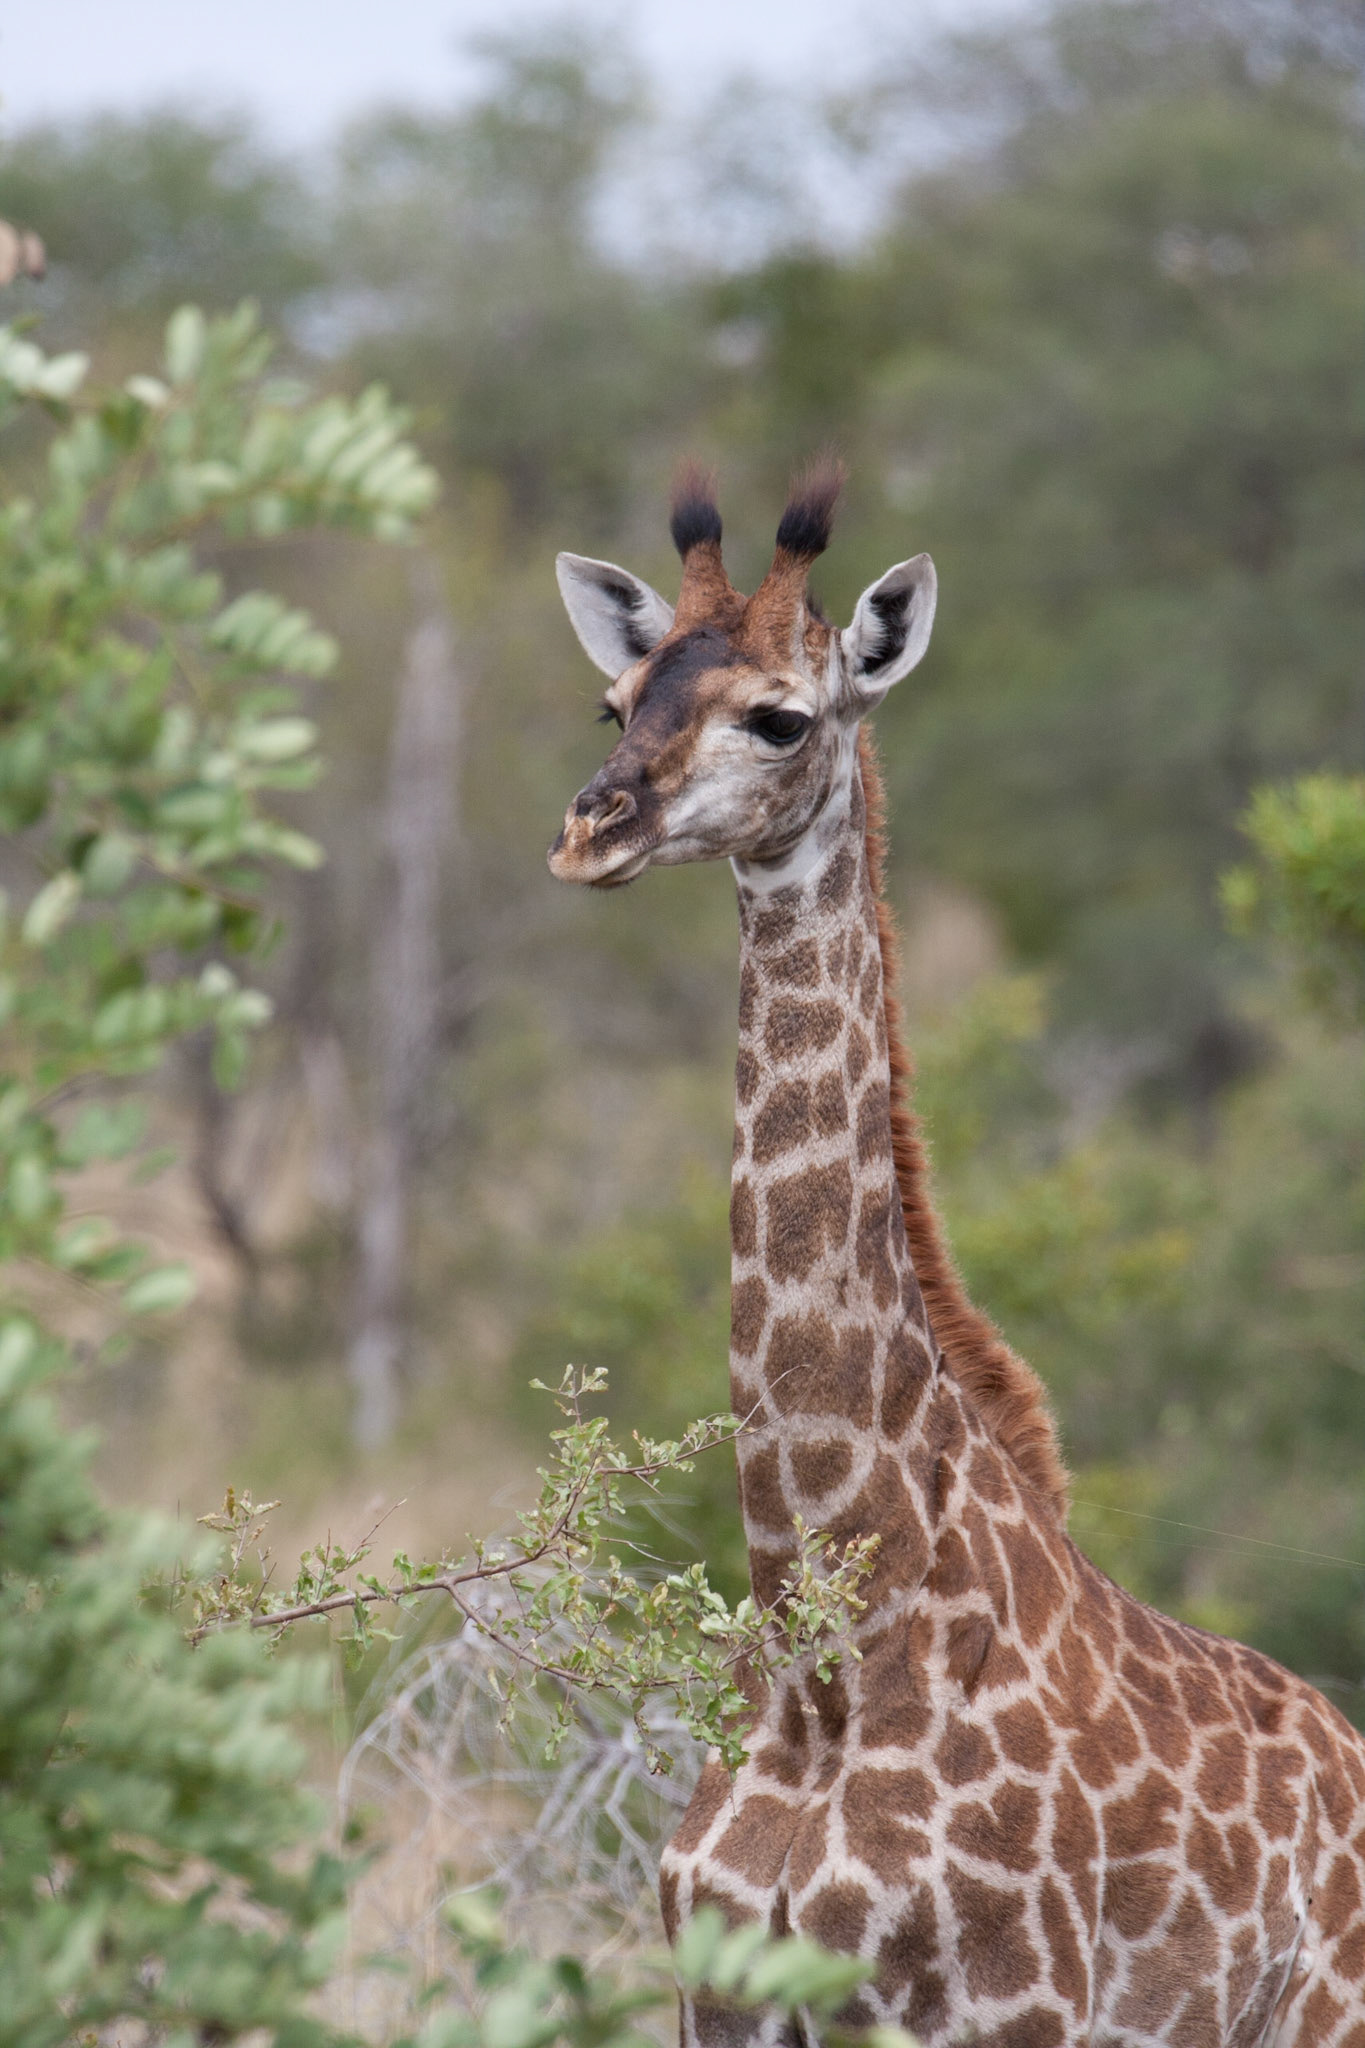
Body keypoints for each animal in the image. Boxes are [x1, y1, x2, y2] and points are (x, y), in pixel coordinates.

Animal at [547, 466, 1365, 2045]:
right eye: (614, 701)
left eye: (779, 717)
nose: (588, 830)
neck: (831, 1647)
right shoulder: (715, 1996)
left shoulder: (1002, 2006)